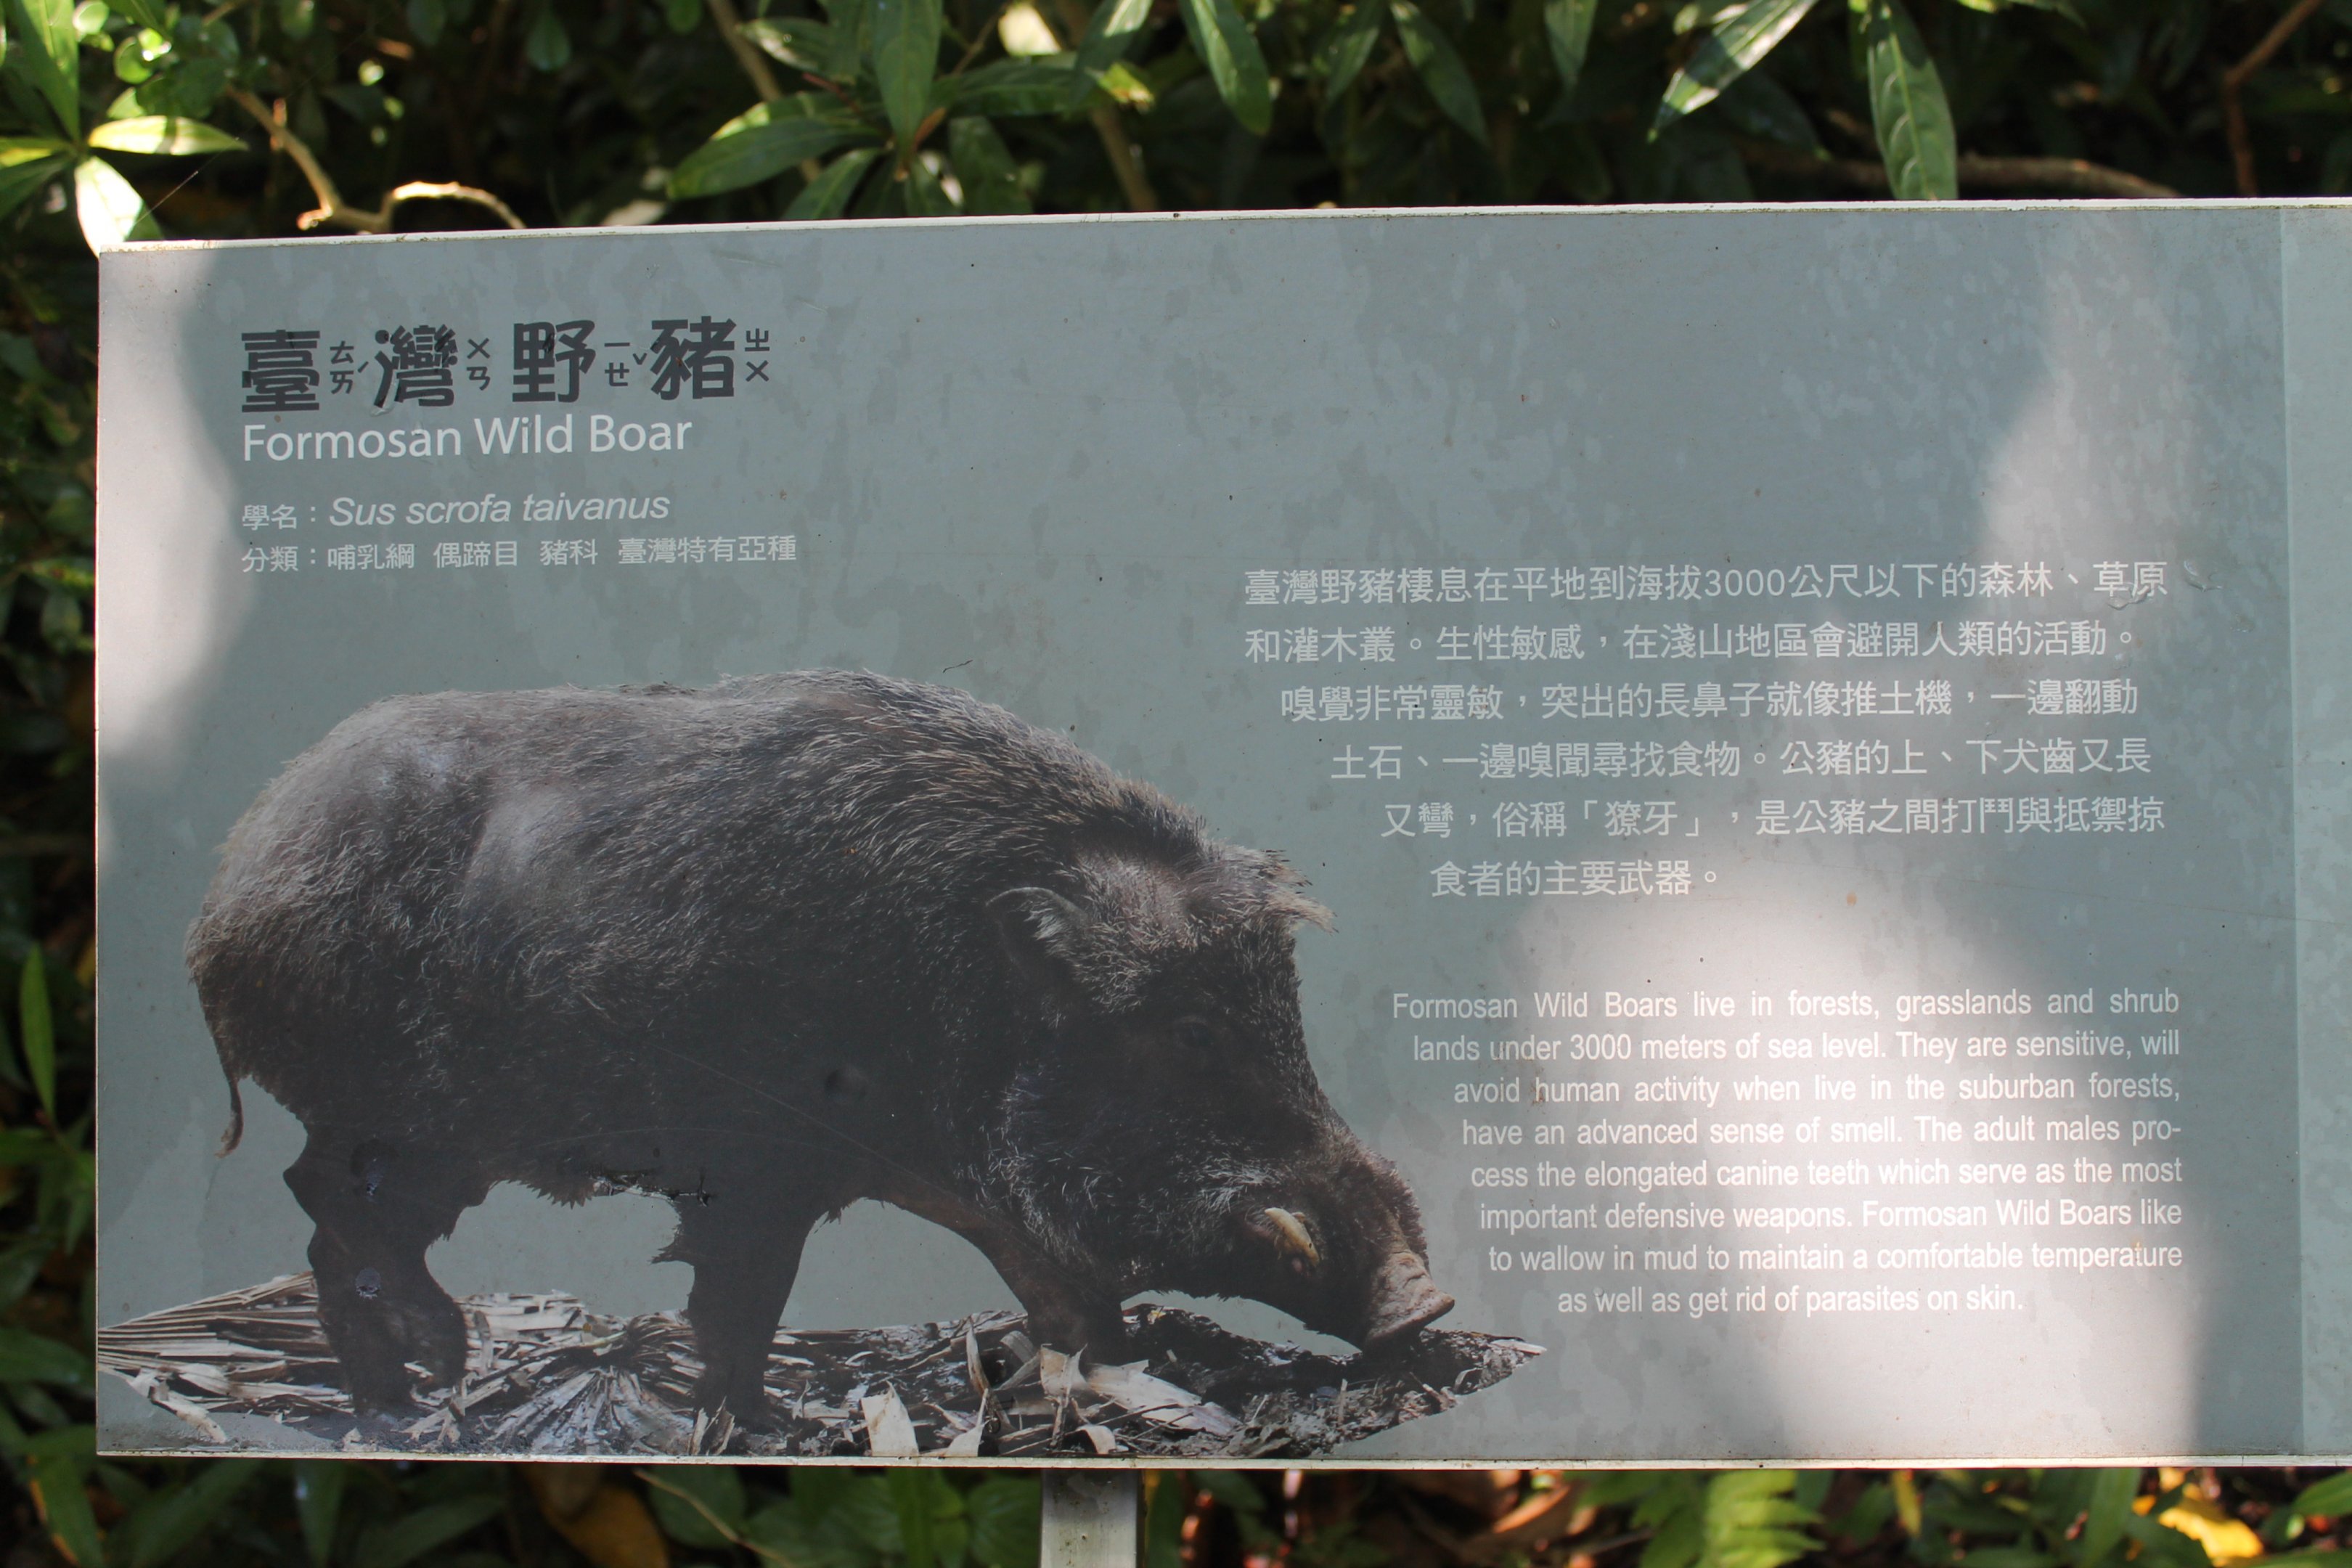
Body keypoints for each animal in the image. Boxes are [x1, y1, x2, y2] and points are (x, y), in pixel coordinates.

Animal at [186, 671, 1453, 1422]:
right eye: (1190, 1030)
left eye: (1285, 1014)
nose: (1425, 1304)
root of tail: (232, 886)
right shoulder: (753, 1167)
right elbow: (739, 1300)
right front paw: (763, 1428)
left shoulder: (973, 1188)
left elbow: (1064, 1292)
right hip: (395, 1116)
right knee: (326, 1209)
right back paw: (423, 1387)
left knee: (327, 1225)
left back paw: (404, 1401)